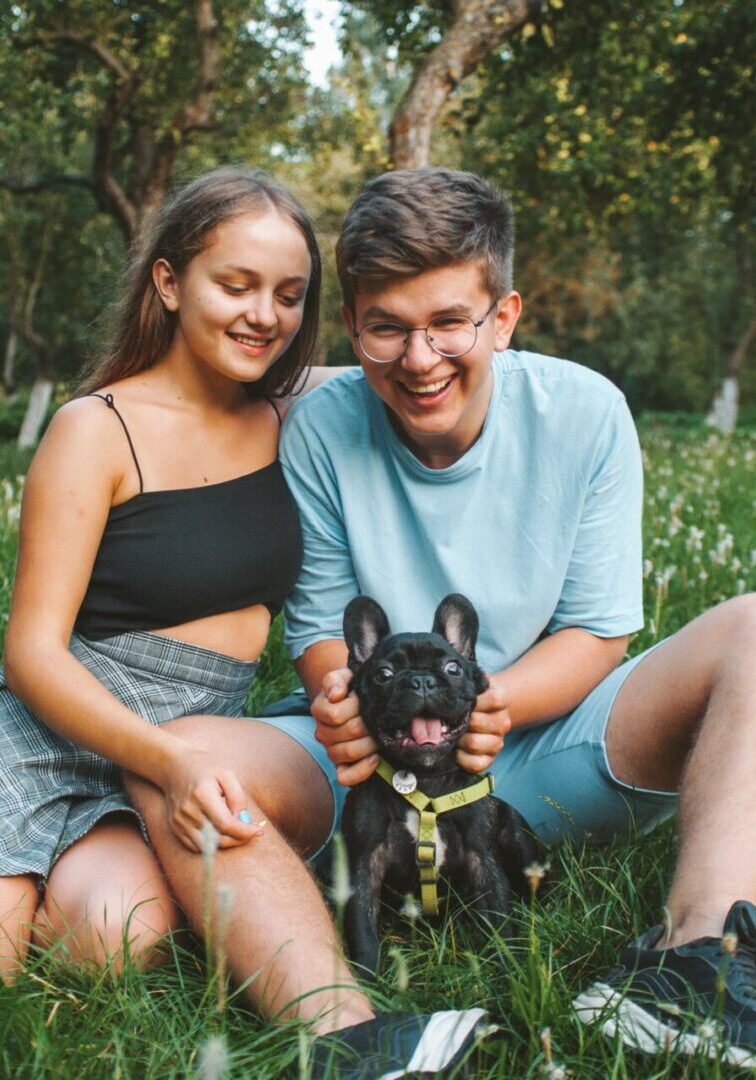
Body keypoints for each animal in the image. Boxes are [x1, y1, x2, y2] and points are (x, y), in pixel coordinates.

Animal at [339, 596, 540, 976]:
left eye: (452, 668)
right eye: (384, 674)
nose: (421, 681)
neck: (425, 779)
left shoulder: (482, 859)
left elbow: (498, 915)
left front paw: (508, 968)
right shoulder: (364, 863)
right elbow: (362, 928)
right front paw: (367, 977)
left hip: (520, 842)